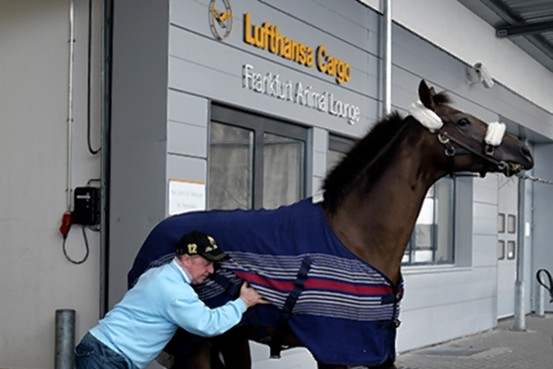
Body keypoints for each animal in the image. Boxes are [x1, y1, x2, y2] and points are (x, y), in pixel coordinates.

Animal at [127, 80, 532, 368]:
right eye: (462, 121)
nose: (524, 151)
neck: (357, 235)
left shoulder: (379, 350)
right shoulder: (337, 348)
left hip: (230, 336)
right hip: (196, 343)